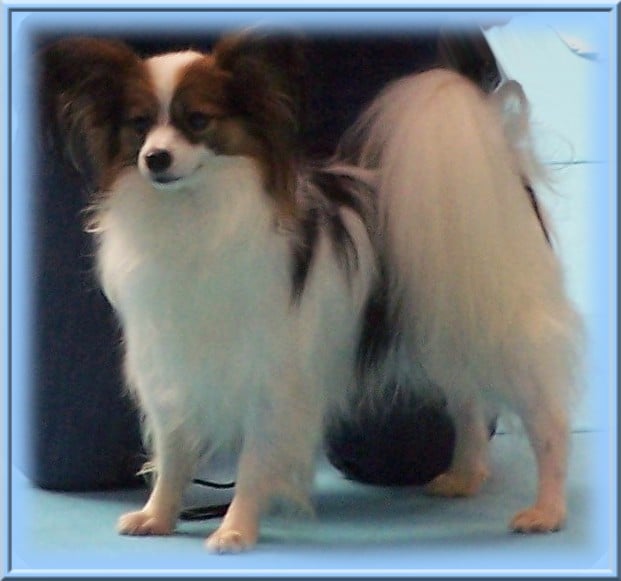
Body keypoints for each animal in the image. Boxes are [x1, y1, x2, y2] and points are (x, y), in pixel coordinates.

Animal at [41, 31, 583, 553]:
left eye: (197, 120)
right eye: (138, 124)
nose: (155, 159)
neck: (193, 214)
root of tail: (501, 168)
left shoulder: (272, 378)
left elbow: (254, 461)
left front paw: (235, 531)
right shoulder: (171, 364)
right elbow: (173, 452)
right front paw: (157, 517)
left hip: (504, 330)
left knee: (549, 424)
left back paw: (547, 512)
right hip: (445, 325)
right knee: (469, 403)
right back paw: (465, 476)